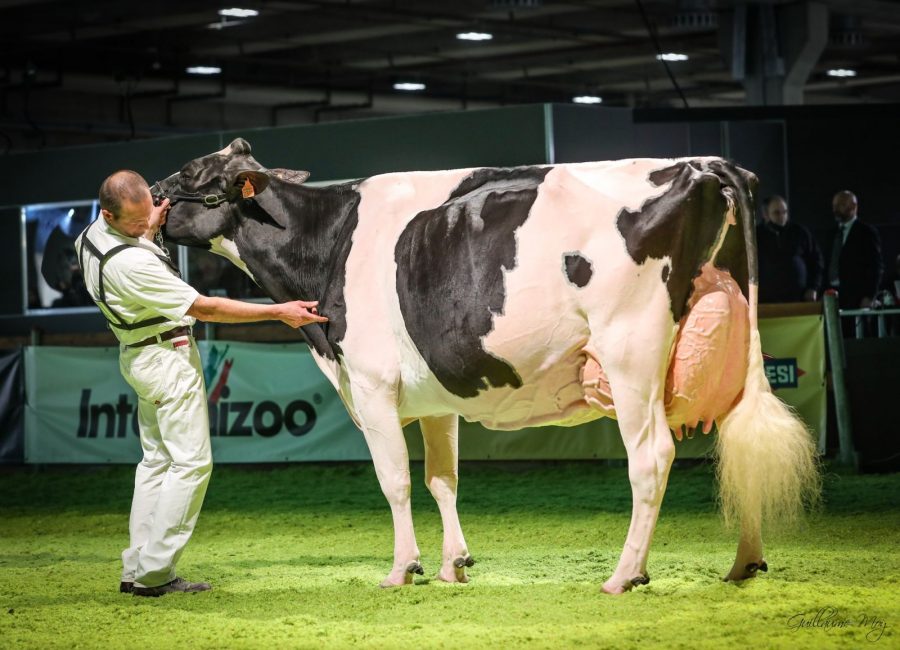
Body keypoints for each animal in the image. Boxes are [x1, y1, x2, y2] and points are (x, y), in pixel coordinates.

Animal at [158, 138, 820, 592]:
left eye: (192, 175)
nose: (152, 193)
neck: (330, 239)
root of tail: (703, 163)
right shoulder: (433, 396)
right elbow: (441, 479)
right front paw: (454, 564)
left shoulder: (371, 385)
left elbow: (395, 481)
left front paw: (403, 568)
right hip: (729, 348)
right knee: (739, 442)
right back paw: (744, 563)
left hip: (631, 351)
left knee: (652, 456)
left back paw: (624, 574)